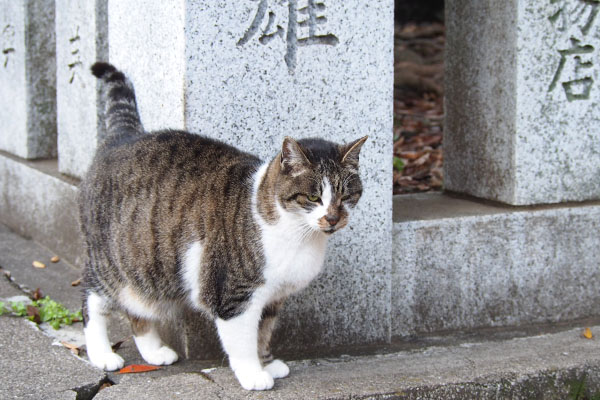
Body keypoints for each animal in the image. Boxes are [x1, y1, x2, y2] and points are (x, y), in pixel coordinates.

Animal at [79, 62, 366, 390]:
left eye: (346, 195)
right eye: (314, 197)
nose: (333, 218)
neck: (298, 235)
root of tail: (123, 136)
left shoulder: (273, 299)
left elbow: (263, 333)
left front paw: (268, 363)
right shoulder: (233, 294)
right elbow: (243, 341)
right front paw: (254, 375)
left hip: (149, 270)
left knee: (138, 309)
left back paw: (154, 352)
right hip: (110, 263)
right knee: (92, 301)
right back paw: (102, 354)